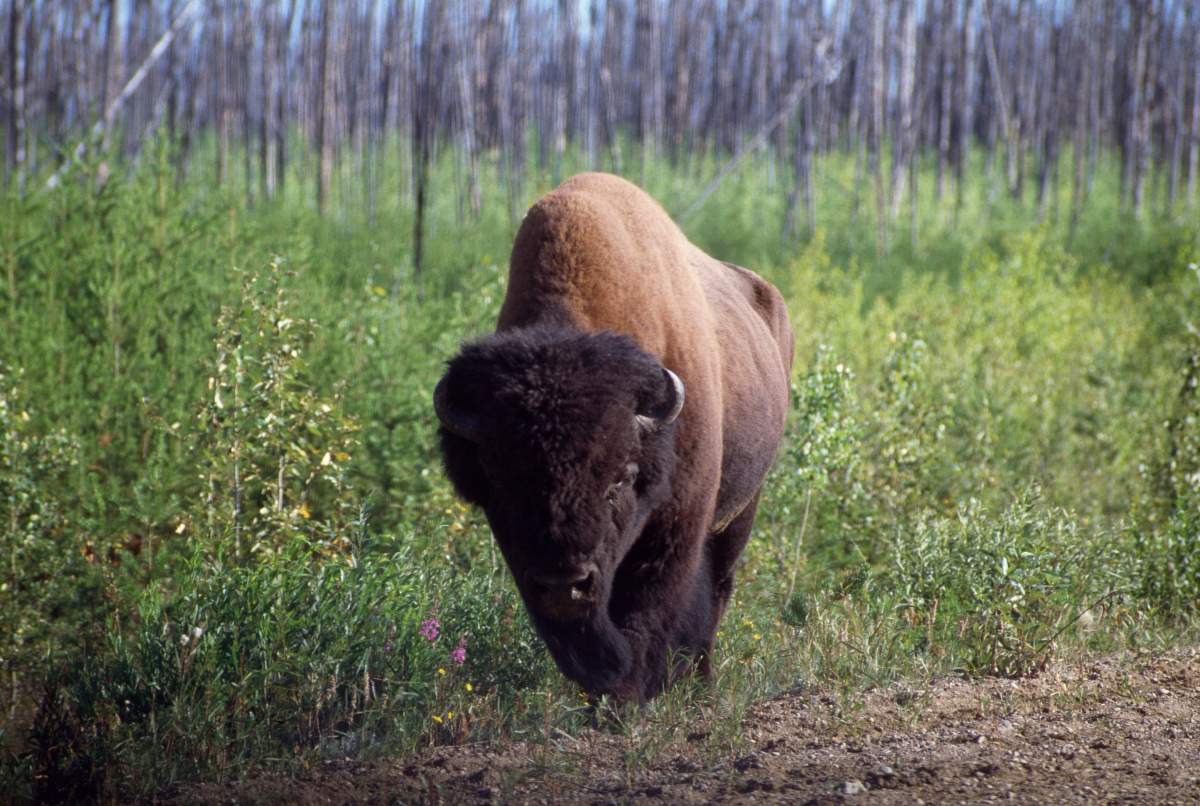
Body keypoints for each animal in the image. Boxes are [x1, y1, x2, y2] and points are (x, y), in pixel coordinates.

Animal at [434, 173, 793, 702]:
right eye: (500, 482)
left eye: (620, 477)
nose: (565, 582)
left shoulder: (676, 524)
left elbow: (647, 610)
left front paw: (626, 699)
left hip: (742, 509)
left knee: (718, 591)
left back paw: (700, 683)